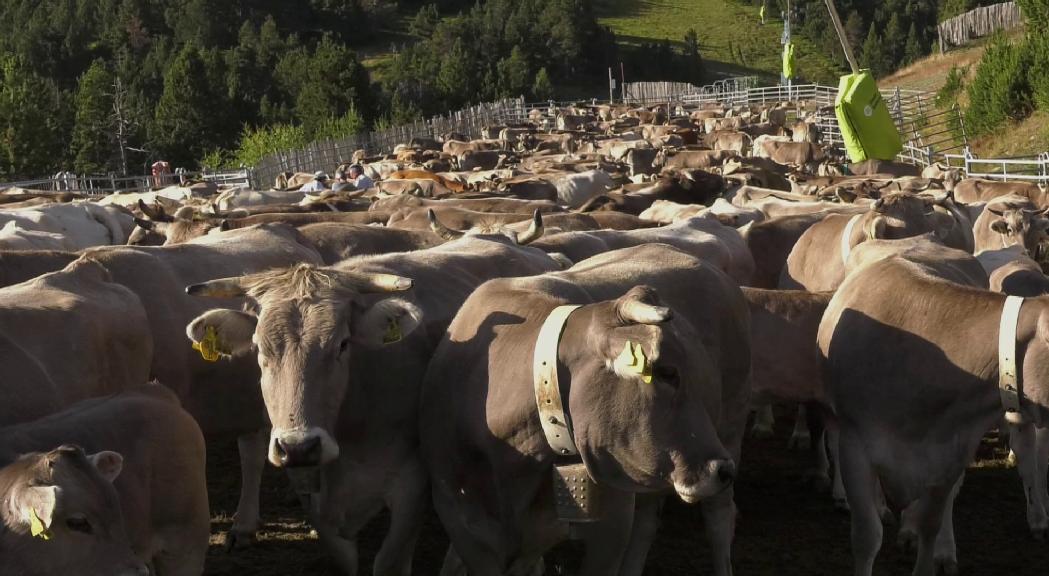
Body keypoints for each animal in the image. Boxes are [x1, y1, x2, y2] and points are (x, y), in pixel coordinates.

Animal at [184, 226, 570, 570]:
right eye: (260, 349)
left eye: (342, 343)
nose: (299, 446)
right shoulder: (311, 493)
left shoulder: (413, 485)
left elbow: (389, 561)